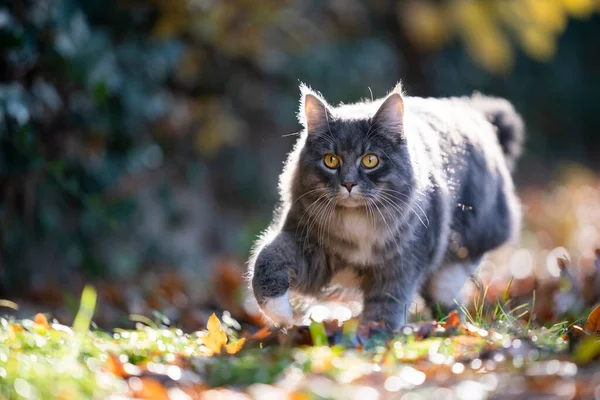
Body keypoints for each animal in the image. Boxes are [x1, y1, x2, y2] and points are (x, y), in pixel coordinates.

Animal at [246, 82, 524, 328]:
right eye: (331, 160)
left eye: (370, 160)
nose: (348, 184)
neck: (357, 221)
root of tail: (471, 112)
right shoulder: (309, 250)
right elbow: (268, 257)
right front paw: (281, 315)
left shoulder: (401, 265)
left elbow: (386, 307)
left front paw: (372, 339)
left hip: (457, 257)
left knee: (449, 299)